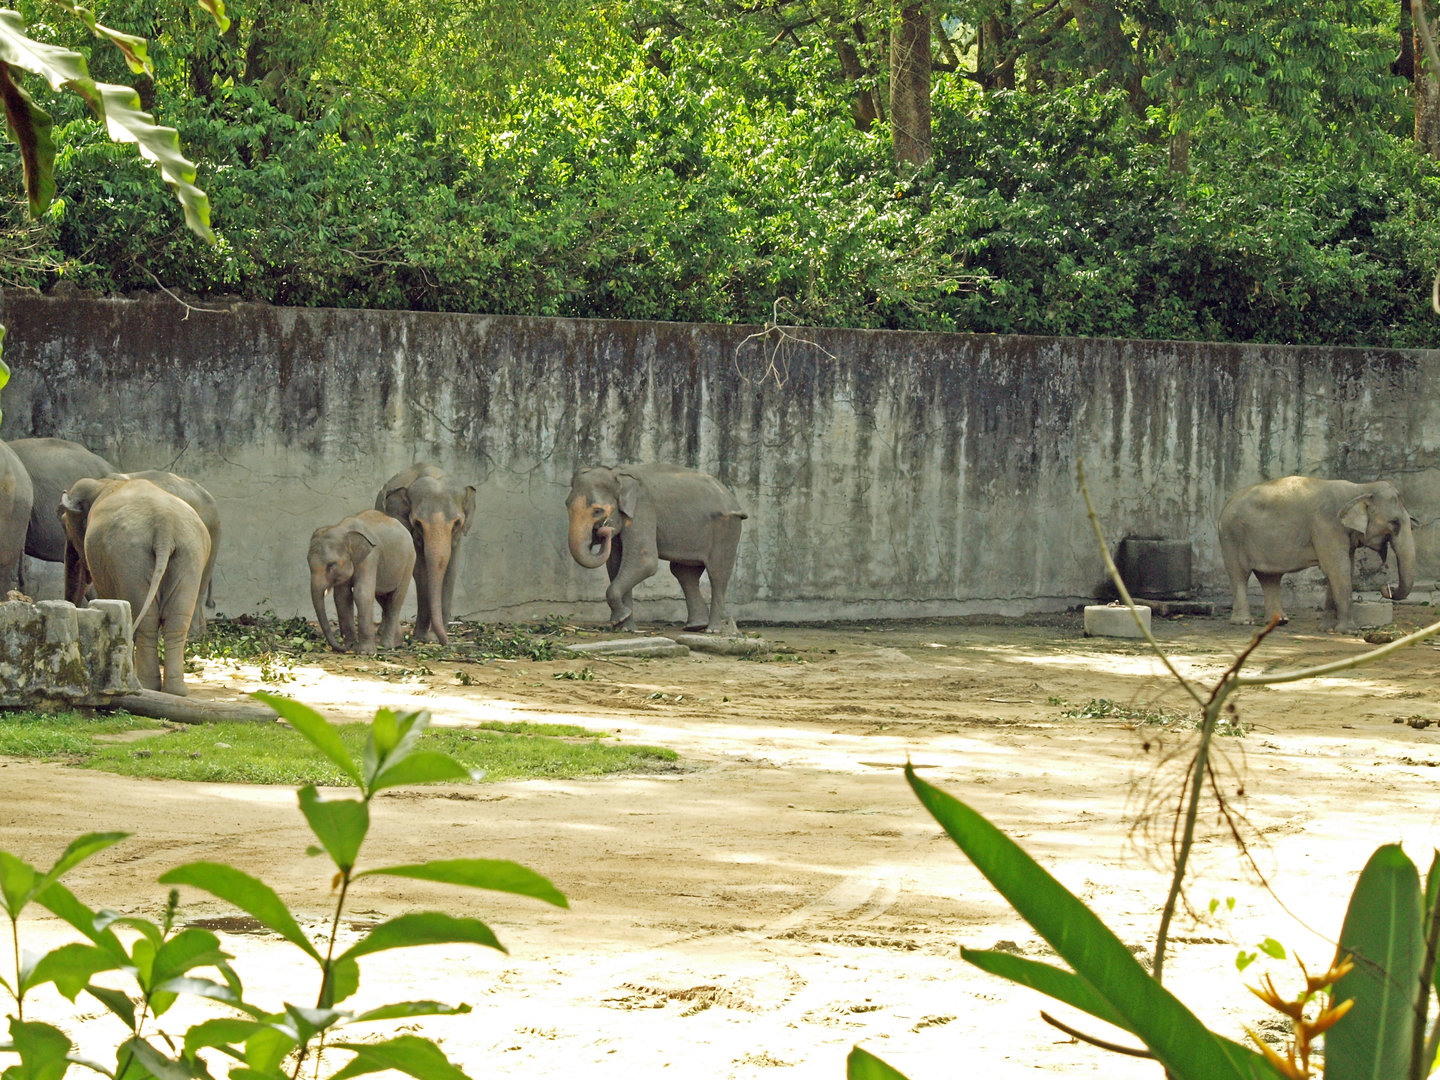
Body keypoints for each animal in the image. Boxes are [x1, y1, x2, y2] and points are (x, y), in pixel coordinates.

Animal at [59, 476, 210, 695]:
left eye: (65, 526)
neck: (104, 483)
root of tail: (165, 528)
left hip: (130, 558)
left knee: (145, 620)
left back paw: (148, 685)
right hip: (190, 555)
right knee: (176, 621)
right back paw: (175, 691)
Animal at [308, 510, 416, 653]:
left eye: (331, 565)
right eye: (308, 562)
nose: (343, 647)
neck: (343, 529)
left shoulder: (371, 557)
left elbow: (362, 594)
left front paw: (365, 652)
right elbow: (342, 597)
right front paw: (351, 646)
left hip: (409, 562)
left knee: (395, 600)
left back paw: (387, 646)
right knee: (383, 598)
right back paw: (397, 643)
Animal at [376, 464, 475, 645]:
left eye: (457, 522)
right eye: (417, 523)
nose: (445, 642)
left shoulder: (457, 537)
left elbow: (451, 571)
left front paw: (434, 636)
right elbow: (421, 572)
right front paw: (424, 636)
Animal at [566, 463, 747, 635]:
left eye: (597, 511)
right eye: (567, 505)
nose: (603, 530)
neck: (616, 474)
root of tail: (731, 497)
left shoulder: (642, 510)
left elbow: (644, 562)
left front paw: (620, 619)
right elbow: (616, 566)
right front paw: (626, 627)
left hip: (726, 527)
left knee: (717, 573)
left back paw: (712, 630)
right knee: (684, 573)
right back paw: (695, 626)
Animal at [1218, 476, 1416, 631]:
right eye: (1395, 523)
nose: (1386, 589)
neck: (1359, 488)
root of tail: (1227, 501)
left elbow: (1344, 568)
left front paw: (1326, 628)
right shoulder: (1327, 525)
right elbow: (1338, 568)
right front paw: (1348, 631)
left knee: (1269, 576)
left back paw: (1280, 621)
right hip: (1232, 536)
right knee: (1239, 574)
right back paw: (1245, 622)